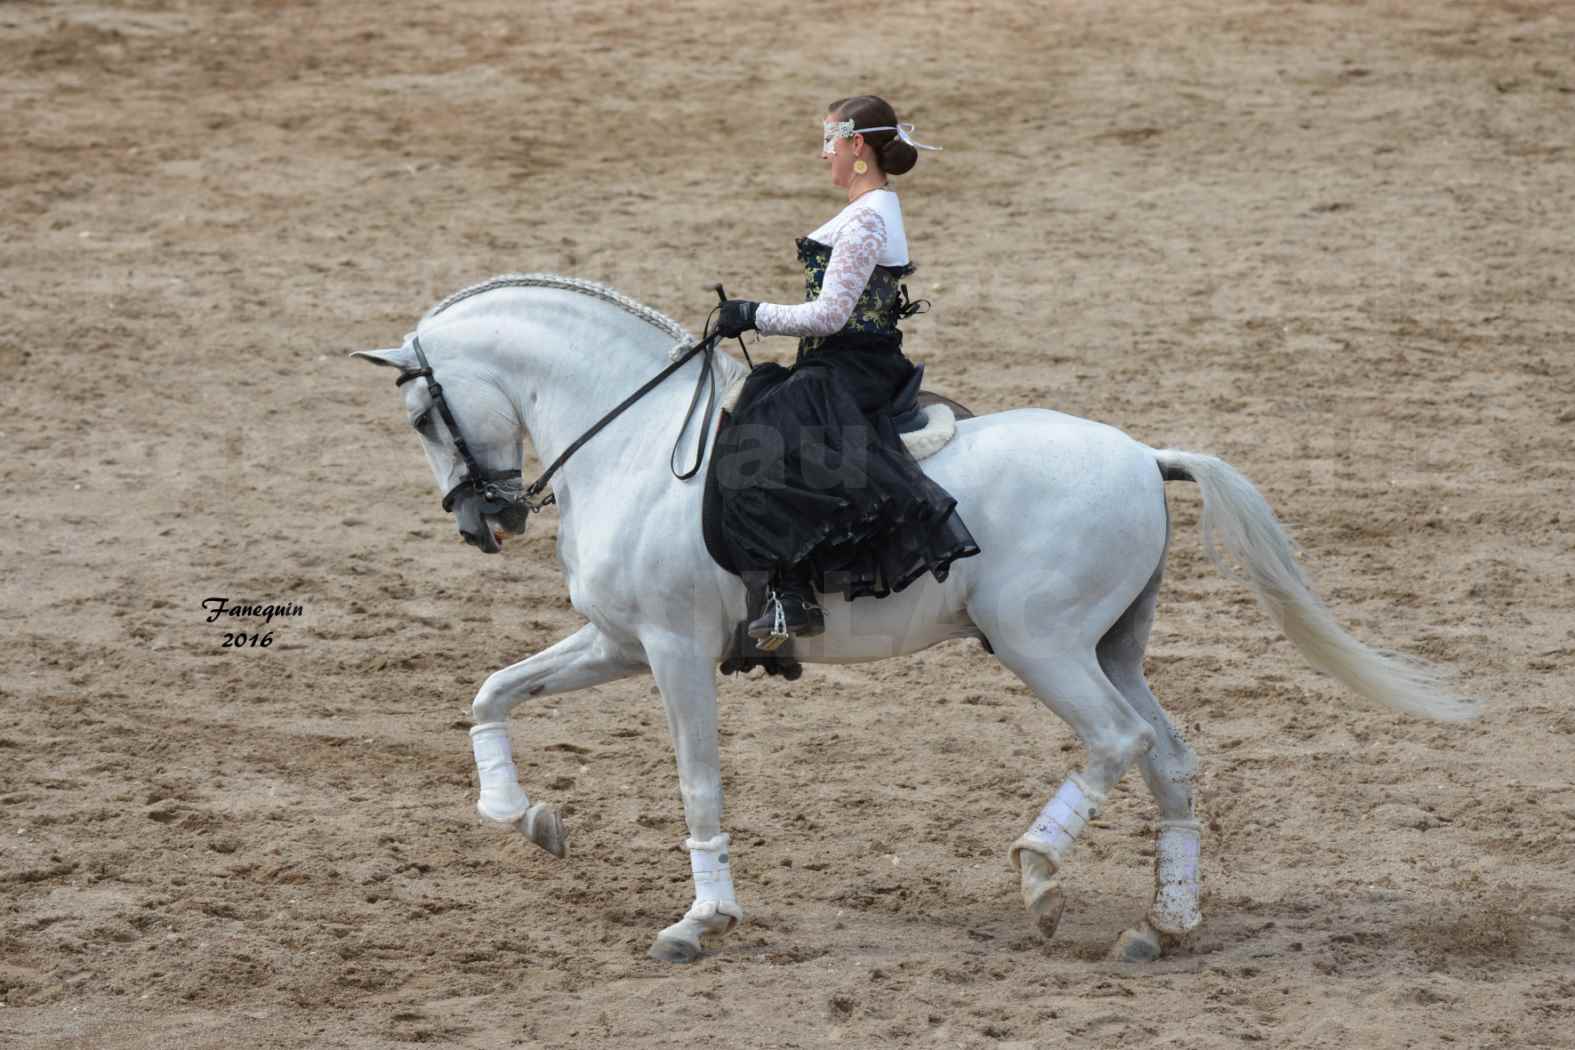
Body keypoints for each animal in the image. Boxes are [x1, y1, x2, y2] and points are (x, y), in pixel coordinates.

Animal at [354, 275, 1474, 963]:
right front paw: (523, 817)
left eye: (420, 415)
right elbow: (491, 691)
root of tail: (1141, 454)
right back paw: (1161, 926)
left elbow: (697, 781)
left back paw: (1040, 876)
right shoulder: (620, 643)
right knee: (1170, 756)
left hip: (1042, 645)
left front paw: (701, 919)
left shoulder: (673, 652)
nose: (481, 522)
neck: (635, 442)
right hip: (1112, 647)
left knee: (1118, 741)